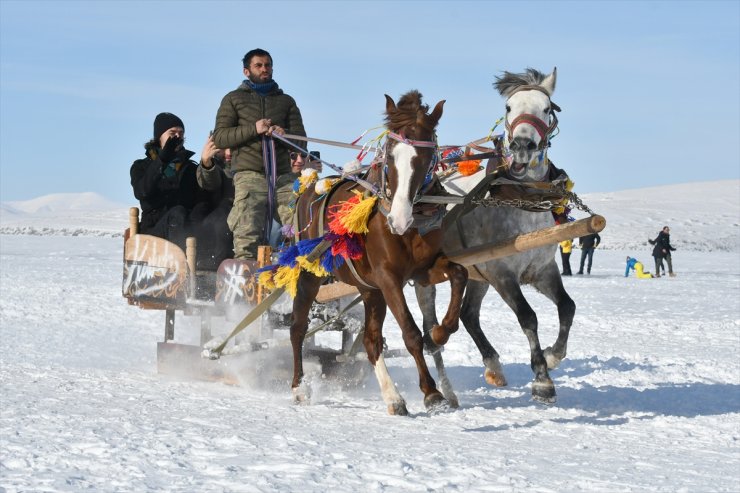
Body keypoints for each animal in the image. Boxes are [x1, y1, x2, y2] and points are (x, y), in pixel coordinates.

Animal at [290, 90, 468, 414]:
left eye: (426, 156)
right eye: (390, 154)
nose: (399, 219)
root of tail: (309, 187)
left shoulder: (423, 269)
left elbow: (459, 274)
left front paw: (440, 332)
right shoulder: (388, 278)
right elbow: (411, 333)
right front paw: (431, 392)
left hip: (369, 288)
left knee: (371, 341)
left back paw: (393, 397)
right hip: (311, 274)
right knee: (297, 327)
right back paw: (298, 388)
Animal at [416, 67, 572, 402]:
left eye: (546, 108)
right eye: (509, 107)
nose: (523, 145)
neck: (520, 200)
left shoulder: (542, 269)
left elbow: (567, 307)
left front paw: (553, 356)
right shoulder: (501, 272)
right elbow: (528, 317)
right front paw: (542, 379)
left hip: (477, 274)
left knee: (468, 315)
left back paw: (493, 367)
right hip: (430, 278)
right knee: (431, 332)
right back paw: (445, 388)